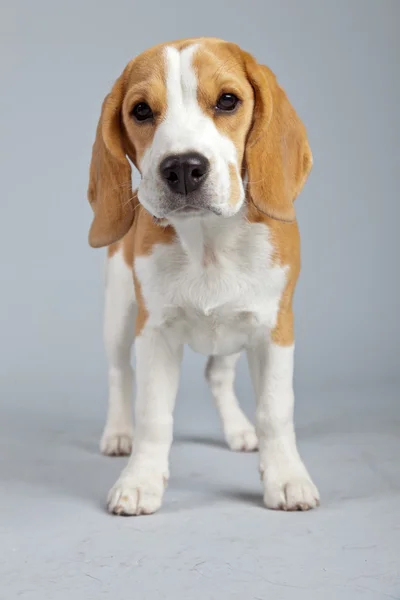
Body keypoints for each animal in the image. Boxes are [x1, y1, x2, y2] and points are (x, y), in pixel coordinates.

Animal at [86, 37, 318, 516]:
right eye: (141, 110)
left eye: (227, 100)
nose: (182, 168)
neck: (209, 242)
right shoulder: (154, 331)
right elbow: (153, 414)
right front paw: (140, 481)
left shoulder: (274, 329)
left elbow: (275, 410)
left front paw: (286, 477)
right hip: (119, 311)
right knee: (119, 372)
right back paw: (118, 433)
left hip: (236, 331)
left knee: (217, 373)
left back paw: (240, 430)